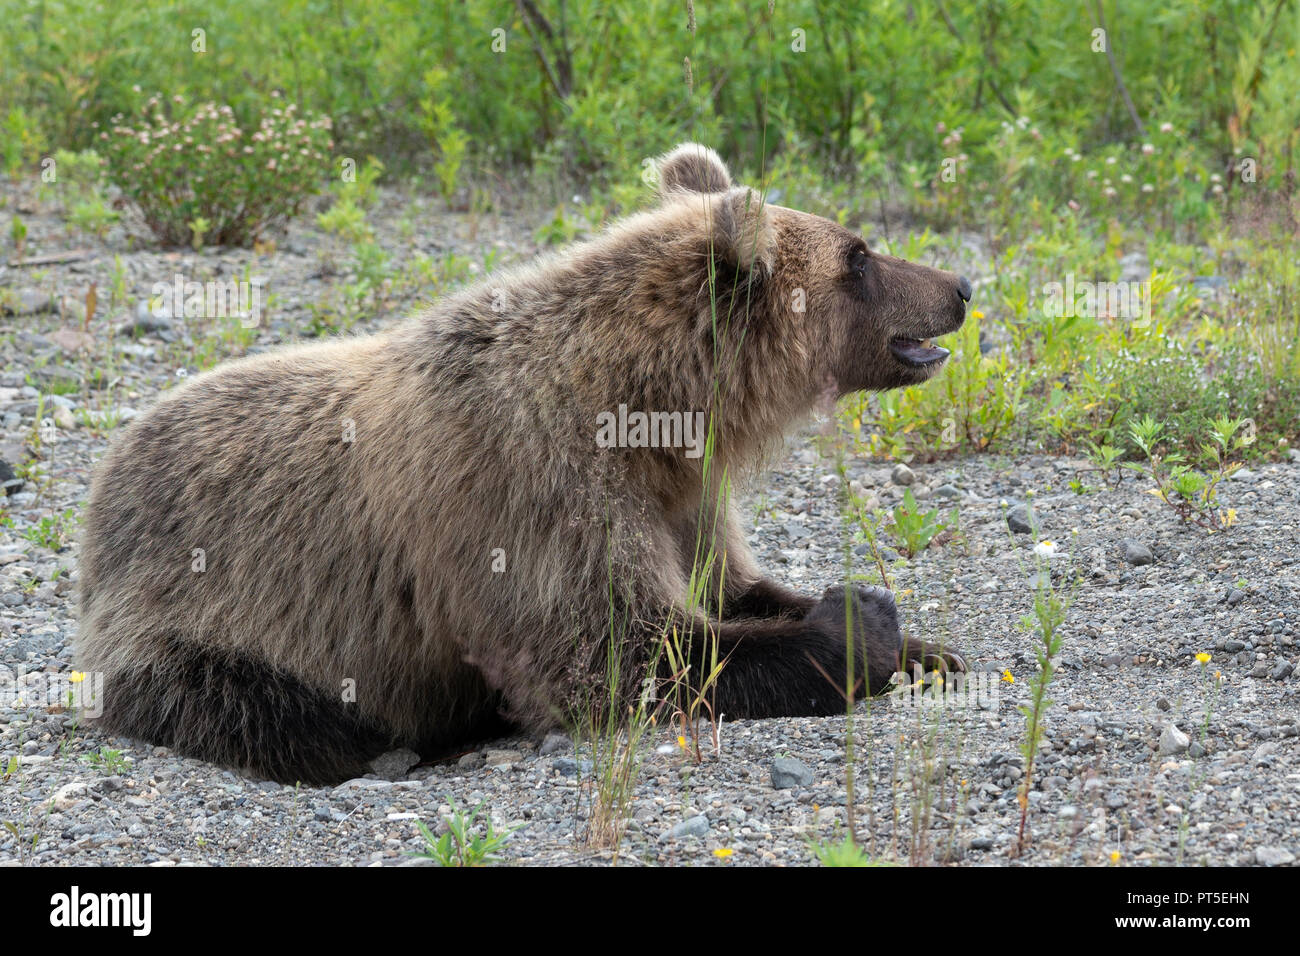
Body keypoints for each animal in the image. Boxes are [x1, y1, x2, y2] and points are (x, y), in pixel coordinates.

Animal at [75, 143, 971, 784]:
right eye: (860, 256)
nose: (960, 284)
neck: (651, 407)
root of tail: (108, 476)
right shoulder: (532, 486)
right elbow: (617, 651)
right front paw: (859, 622)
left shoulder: (683, 494)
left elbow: (729, 585)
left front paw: (931, 647)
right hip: (202, 613)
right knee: (275, 713)